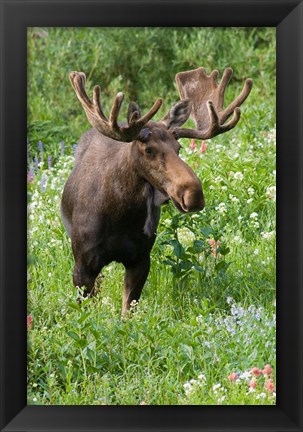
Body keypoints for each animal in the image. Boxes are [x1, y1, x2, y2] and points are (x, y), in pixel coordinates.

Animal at [60, 68, 253, 318]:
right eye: (149, 149)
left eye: (178, 147)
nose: (194, 194)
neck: (120, 216)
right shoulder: (83, 264)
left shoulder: (141, 259)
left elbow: (128, 312)